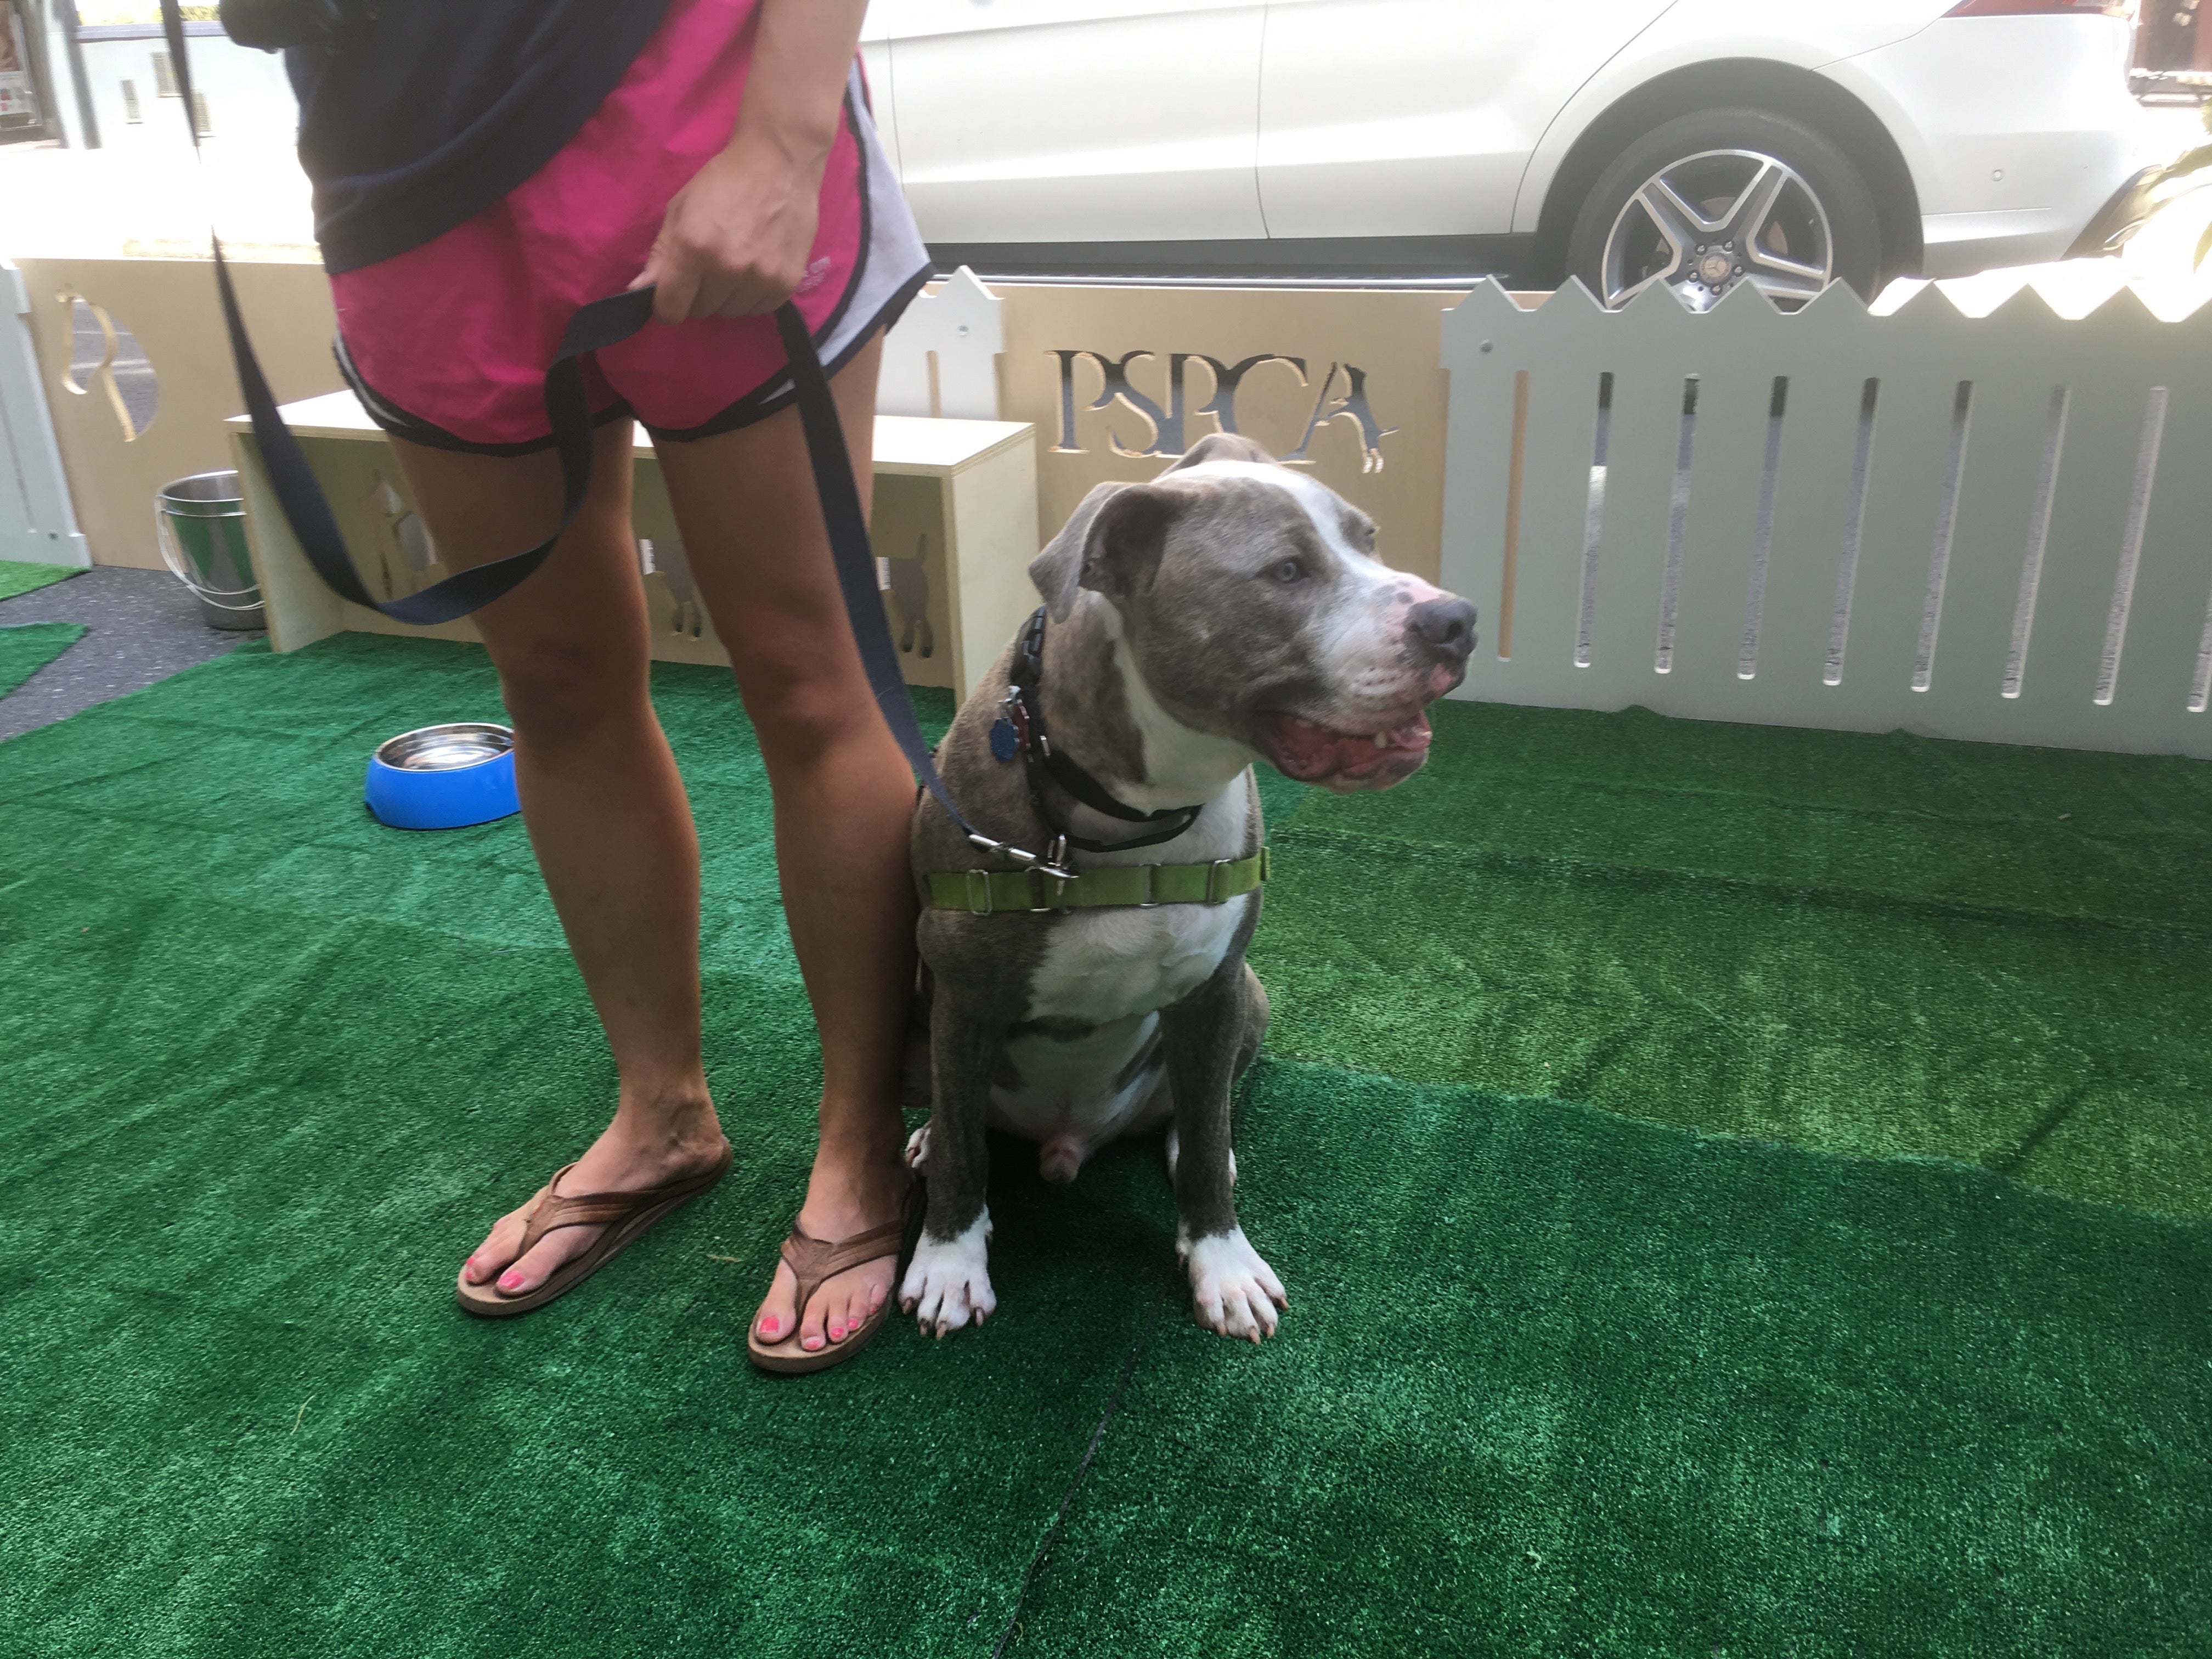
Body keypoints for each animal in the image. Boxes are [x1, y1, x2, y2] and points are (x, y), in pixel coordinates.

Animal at [889, 436, 1477, 1345]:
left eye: (1369, 540)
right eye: (1285, 571)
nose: (1457, 621)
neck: (1139, 810)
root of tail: (1069, 1139)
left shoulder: (1213, 988)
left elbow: (1201, 1145)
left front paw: (1222, 1265)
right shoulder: (964, 992)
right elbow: (963, 1148)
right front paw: (950, 1261)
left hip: (1252, 999)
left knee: (1200, 1112)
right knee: (964, 1125)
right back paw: (925, 1152)